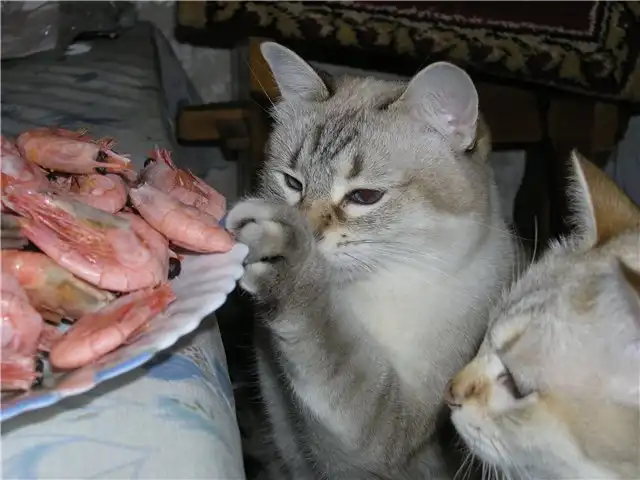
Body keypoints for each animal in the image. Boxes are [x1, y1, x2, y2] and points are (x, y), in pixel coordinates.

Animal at [226, 41, 517, 479]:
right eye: (292, 183)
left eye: (364, 197)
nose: (307, 231)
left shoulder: (386, 436)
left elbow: (332, 349)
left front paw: (286, 256)